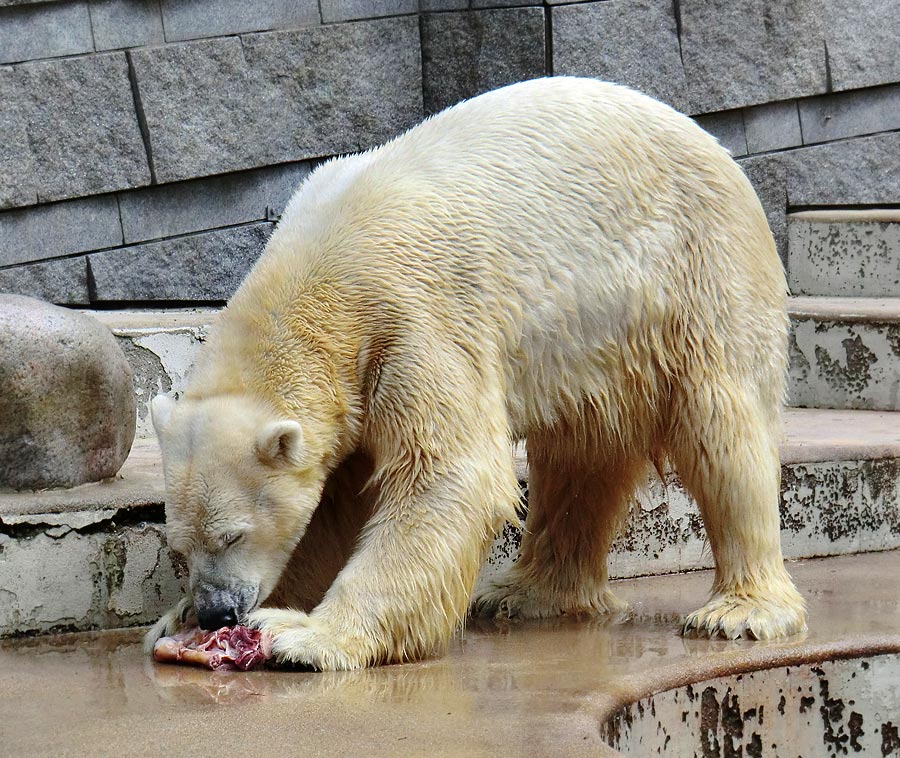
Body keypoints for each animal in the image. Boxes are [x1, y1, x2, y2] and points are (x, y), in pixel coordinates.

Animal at [146, 75, 808, 672]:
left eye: (232, 535)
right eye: (179, 546)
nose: (217, 611)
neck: (315, 272)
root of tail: (718, 149)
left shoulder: (410, 321)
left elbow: (446, 473)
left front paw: (301, 636)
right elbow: (332, 502)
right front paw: (181, 622)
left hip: (699, 276)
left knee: (721, 430)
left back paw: (740, 612)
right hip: (595, 348)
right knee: (580, 456)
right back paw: (526, 593)